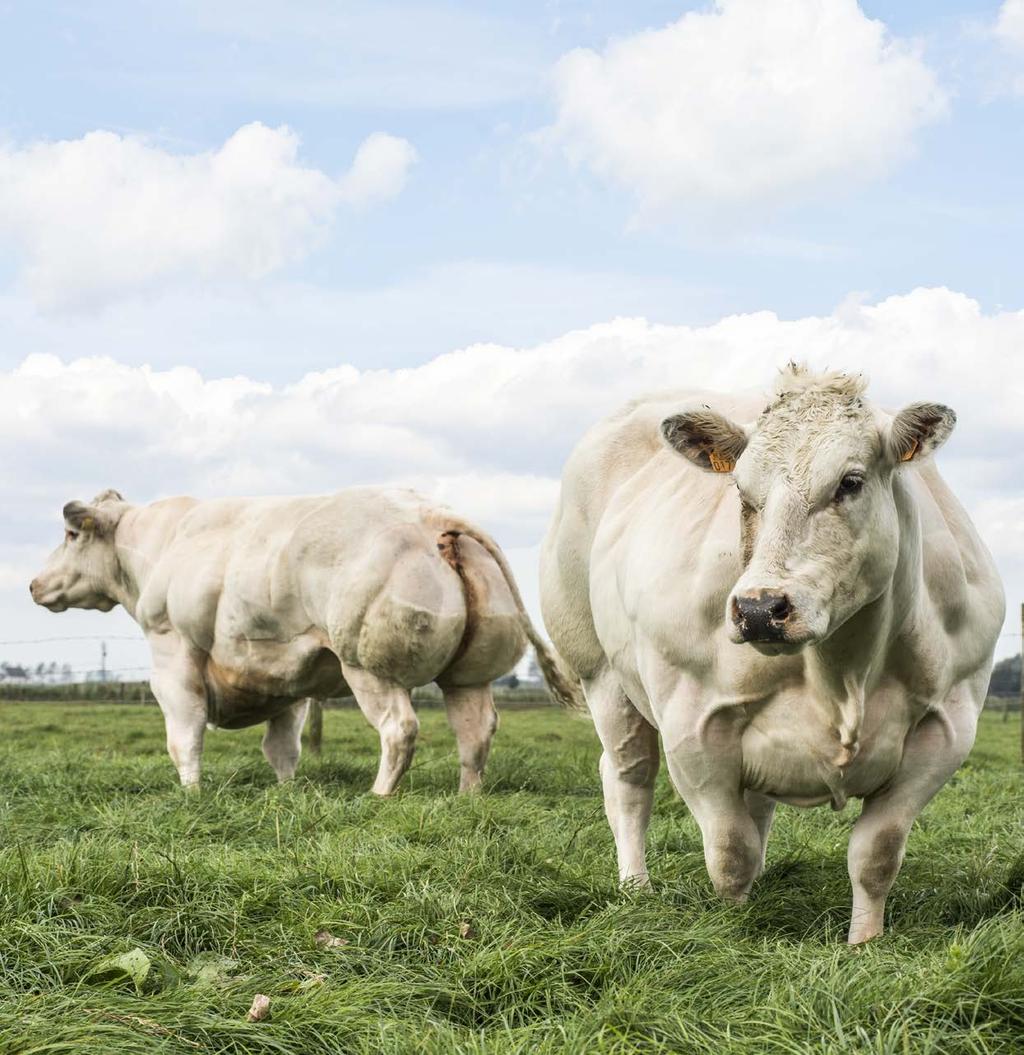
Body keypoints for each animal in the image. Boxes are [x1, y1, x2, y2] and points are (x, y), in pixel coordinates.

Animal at [32, 485, 577, 793]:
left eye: (71, 535)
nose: (35, 584)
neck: (162, 544)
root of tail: (432, 516)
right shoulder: (283, 676)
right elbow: (282, 747)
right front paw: (288, 793)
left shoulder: (172, 652)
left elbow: (184, 735)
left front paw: (190, 794)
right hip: (469, 676)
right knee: (475, 733)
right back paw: (467, 797)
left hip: (370, 668)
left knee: (399, 729)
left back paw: (379, 795)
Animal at [539, 367, 1003, 945]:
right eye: (741, 489)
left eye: (850, 482)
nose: (760, 610)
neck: (844, 673)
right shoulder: (694, 728)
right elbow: (729, 853)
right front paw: (733, 933)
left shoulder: (946, 731)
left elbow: (876, 854)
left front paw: (864, 944)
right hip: (599, 672)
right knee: (628, 778)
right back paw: (635, 889)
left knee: (754, 805)